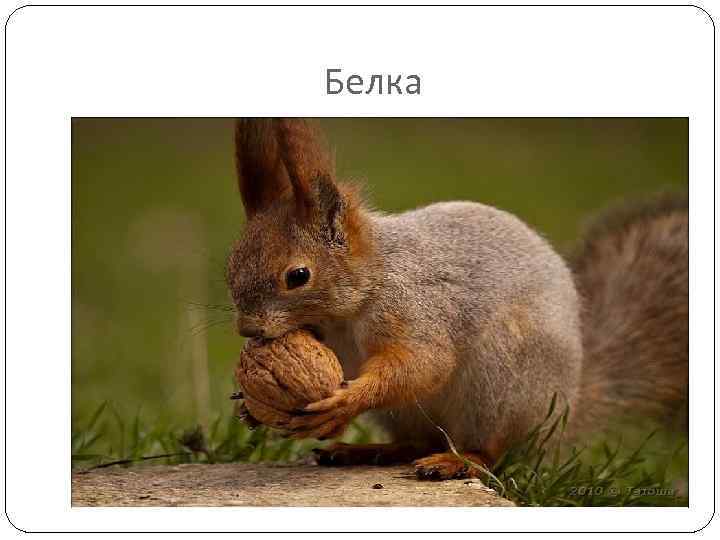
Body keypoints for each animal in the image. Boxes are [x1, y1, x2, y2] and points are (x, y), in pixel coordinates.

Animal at [226, 118, 688, 480]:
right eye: (231, 264)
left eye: (298, 276)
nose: (247, 329)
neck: (360, 296)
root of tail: (563, 410)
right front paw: (250, 407)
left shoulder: (418, 308)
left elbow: (423, 364)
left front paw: (345, 402)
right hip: (409, 414)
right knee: (417, 442)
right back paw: (367, 451)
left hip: (502, 381)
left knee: (493, 451)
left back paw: (457, 461)